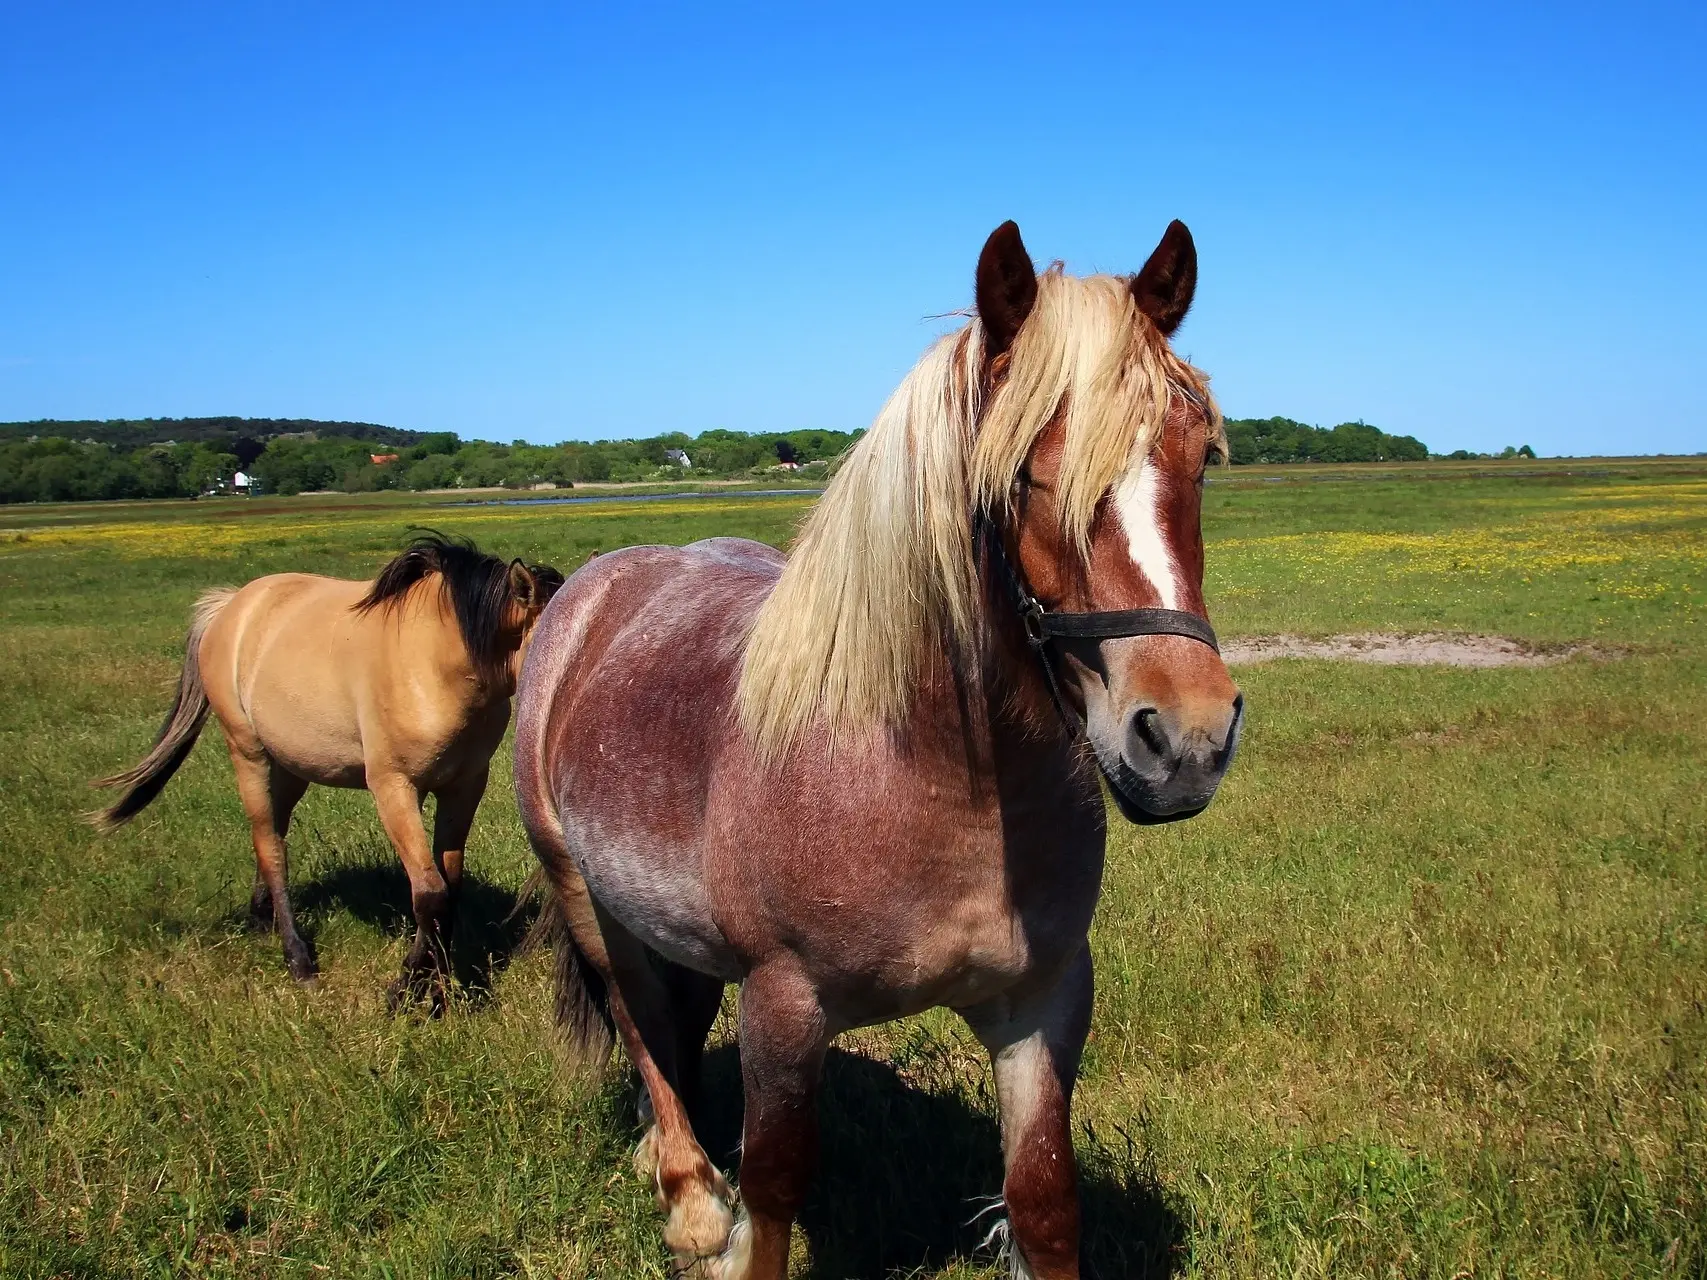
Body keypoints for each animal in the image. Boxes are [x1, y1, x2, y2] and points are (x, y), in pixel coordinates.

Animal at [95, 532, 559, 1010]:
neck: (439, 661)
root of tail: (231, 606)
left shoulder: (464, 787)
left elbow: (449, 884)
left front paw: (439, 983)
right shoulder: (394, 788)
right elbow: (430, 893)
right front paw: (407, 989)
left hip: (289, 767)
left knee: (273, 834)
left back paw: (261, 920)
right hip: (249, 755)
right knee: (271, 848)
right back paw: (298, 959)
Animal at [512, 223, 1249, 1280]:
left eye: (1198, 460)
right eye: (1023, 474)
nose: (1186, 737)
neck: (932, 782)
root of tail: (589, 593)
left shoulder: (1043, 1003)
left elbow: (1044, 1201)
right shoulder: (784, 1005)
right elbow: (773, 1193)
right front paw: (728, 1223)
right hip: (585, 898)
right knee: (640, 1026)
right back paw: (690, 1200)